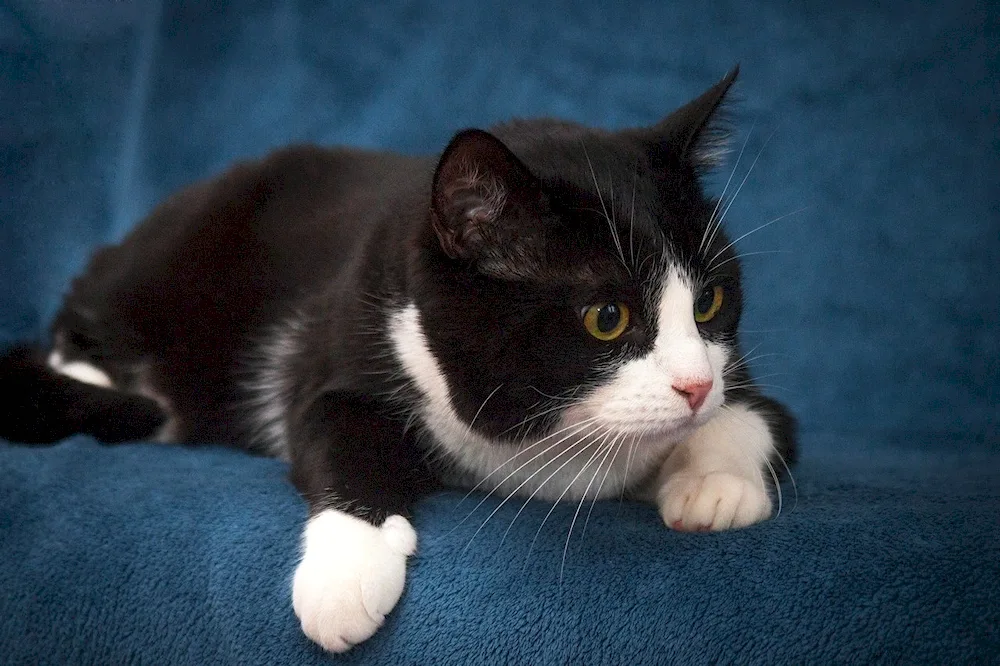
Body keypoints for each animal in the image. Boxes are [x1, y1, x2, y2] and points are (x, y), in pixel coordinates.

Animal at [0, 66, 796, 648]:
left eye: (708, 303)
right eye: (608, 319)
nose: (694, 386)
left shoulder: (740, 375)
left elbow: (760, 417)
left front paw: (715, 485)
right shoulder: (337, 353)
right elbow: (336, 435)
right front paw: (345, 575)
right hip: (158, 260)